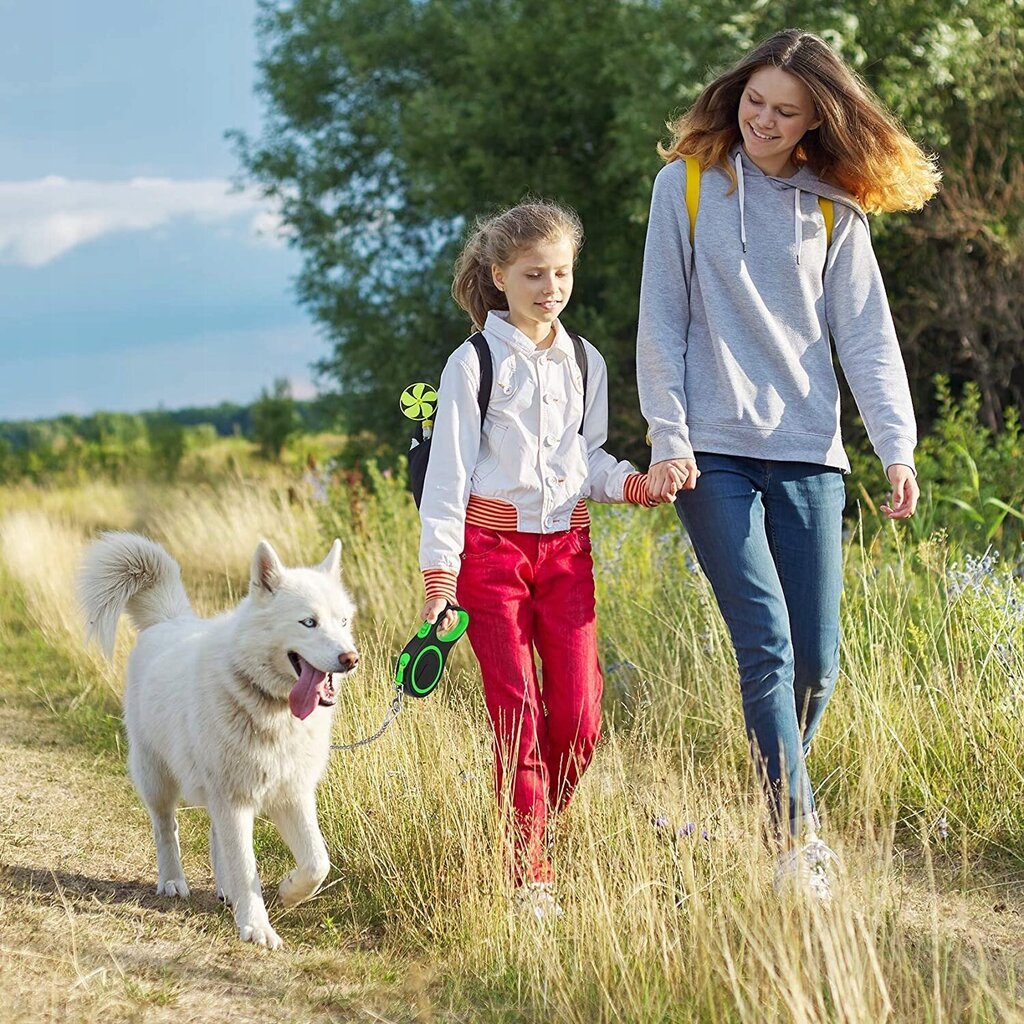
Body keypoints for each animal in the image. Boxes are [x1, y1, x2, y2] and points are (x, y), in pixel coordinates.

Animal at [75, 532, 358, 946]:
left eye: (343, 621)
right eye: (309, 622)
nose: (351, 658)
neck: (269, 706)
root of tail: (170, 619)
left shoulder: (292, 794)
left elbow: (316, 862)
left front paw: (289, 891)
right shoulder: (234, 799)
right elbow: (245, 865)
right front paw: (257, 927)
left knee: (214, 834)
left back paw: (225, 889)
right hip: (158, 779)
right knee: (166, 828)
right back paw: (173, 881)